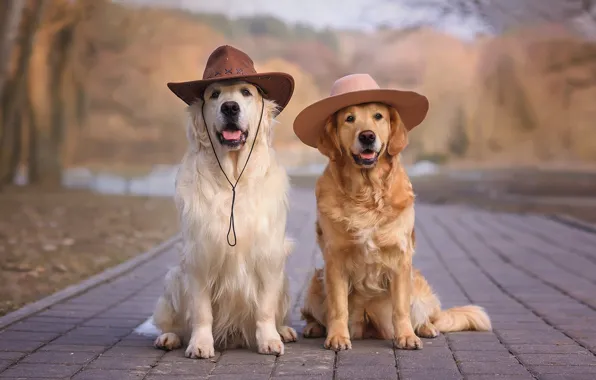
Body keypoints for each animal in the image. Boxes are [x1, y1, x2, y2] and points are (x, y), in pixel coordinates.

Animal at [150, 45, 296, 360]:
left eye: (246, 92)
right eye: (215, 94)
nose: (230, 107)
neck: (233, 179)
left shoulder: (268, 254)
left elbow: (265, 309)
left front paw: (269, 339)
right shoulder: (199, 255)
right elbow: (201, 311)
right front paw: (200, 344)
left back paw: (285, 331)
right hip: (174, 278)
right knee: (170, 320)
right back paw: (169, 337)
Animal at [292, 73, 492, 350]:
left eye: (378, 116)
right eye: (349, 119)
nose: (367, 136)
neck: (366, 192)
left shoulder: (400, 259)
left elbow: (401, 308)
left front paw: (407, 336)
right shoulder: (334, 260)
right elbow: (338, 306)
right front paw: (337, 337)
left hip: (418, 285)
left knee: (428, 315)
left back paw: (426, 328)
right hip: (315, 284)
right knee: (314, 313)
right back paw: (314, 328)